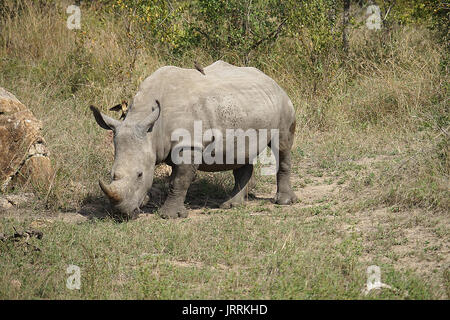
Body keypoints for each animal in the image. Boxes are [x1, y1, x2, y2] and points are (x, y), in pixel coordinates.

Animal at [90, 61, 296, 219]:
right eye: (111, 174)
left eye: (140, 175)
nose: (121, 214)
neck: (151, 129)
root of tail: (271, 80)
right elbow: (175, 179)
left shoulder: (188, 144)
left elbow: (179, 180)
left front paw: (169, 216)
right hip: (245, 106)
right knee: (240, 153)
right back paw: (231, 205)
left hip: (283, 102)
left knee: (282, 145)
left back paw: (283, 202)